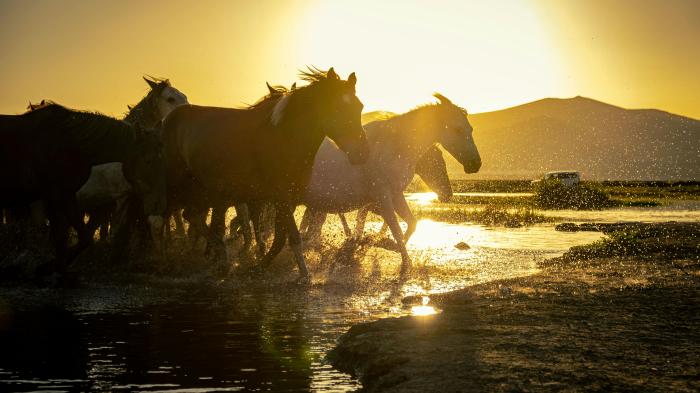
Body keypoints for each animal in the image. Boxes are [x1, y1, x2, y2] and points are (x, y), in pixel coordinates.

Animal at [0, 102, 165, 272]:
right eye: (148, 161)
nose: (159, 203)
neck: (68, 142)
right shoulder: (52, 194)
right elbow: (60, 235)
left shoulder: (67, 193)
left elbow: (82, 237)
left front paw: (51, 267)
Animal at [158, 67, 366, 278]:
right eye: (337, 108)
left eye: (360, 107)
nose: (360, 153)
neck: (284, 137)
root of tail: (170, 118)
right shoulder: (279, 197)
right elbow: (292, 236)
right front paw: (304, 276)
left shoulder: (287, 199)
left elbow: (279, 237)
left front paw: (259, 265)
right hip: (177, 186)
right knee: (163, 218)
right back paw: (166, 258)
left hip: (205, 191)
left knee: (192, 217)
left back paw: (221, 256)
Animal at [298, 95, 478, 272]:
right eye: (458, 129)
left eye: (470, 129)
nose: (476, 163)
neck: (395, 148)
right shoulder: (382, 197)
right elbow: (394, 228)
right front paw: (402, 260)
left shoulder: (395, 195)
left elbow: (411, 223)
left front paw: (387, 245)